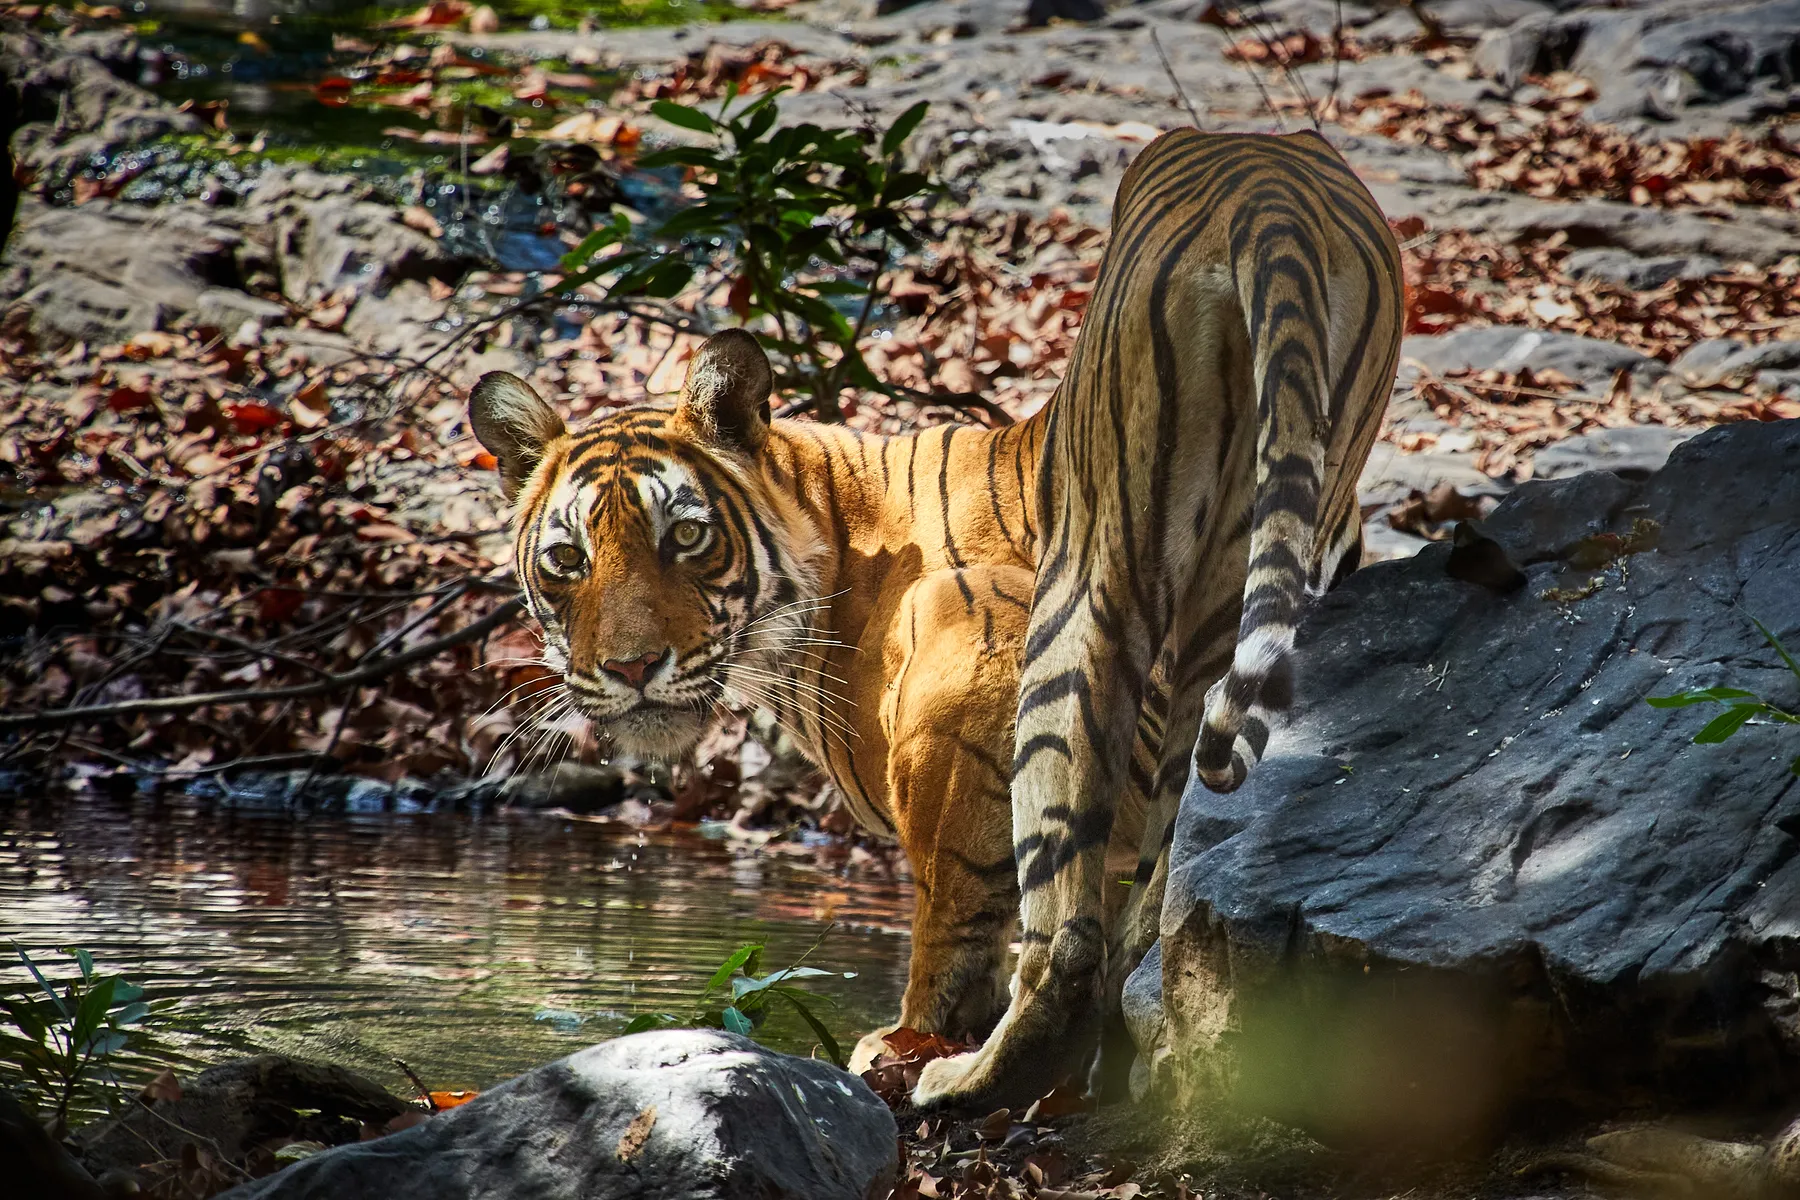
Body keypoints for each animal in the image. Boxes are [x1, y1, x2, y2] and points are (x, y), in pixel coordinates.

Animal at [469, 126, 1402, 1110]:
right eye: (568, 560)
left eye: (685, 536)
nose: (630, 668)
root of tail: (1265, 179)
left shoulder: (965, 651)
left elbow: (953, 906)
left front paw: (907, 1041)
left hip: (1084, 585)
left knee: (1066, 935)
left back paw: (971, 1074)